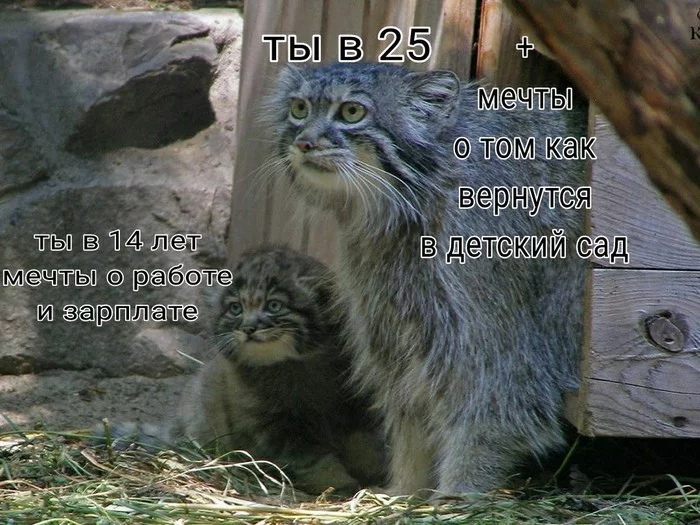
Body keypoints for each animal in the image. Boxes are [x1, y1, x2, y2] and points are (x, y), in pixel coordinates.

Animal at [172, 246, 386, 492]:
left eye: (274, 306)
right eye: (236, 308)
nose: (248, 328)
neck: (296, 365)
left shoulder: (356, 404)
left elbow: (364, 441)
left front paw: (375, 472)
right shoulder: (276, 425)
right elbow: (311, 459)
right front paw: (337, 483)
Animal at [266, 63, 588, 494]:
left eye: (352, 112)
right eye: (299, 108)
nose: (304, 143)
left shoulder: (495, 334)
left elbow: (495, 406)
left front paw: (457, 492)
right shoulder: (390, 312)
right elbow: (409, 409)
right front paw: (405, 489)